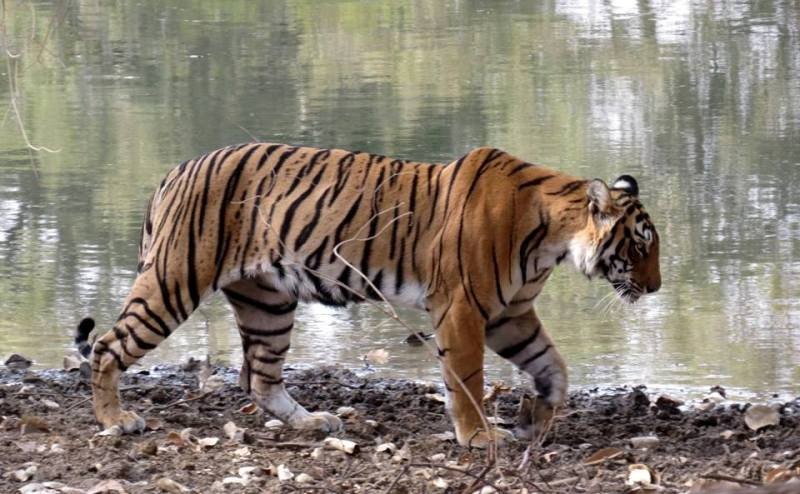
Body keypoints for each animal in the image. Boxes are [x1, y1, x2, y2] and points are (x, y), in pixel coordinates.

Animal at [75, 143, 660, 448]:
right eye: (640, 244)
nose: (656, 288)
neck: (554, 239)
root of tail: (176, 169)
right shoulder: (464, 308)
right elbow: (467, 380)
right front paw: (480, 437)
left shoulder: (509, 314)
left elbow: (554, 366)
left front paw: (536, 417)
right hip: (173, 281)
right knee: (106, 346)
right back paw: (114, 421)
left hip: (268, 302)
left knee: (261, 379)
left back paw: (312, 421)